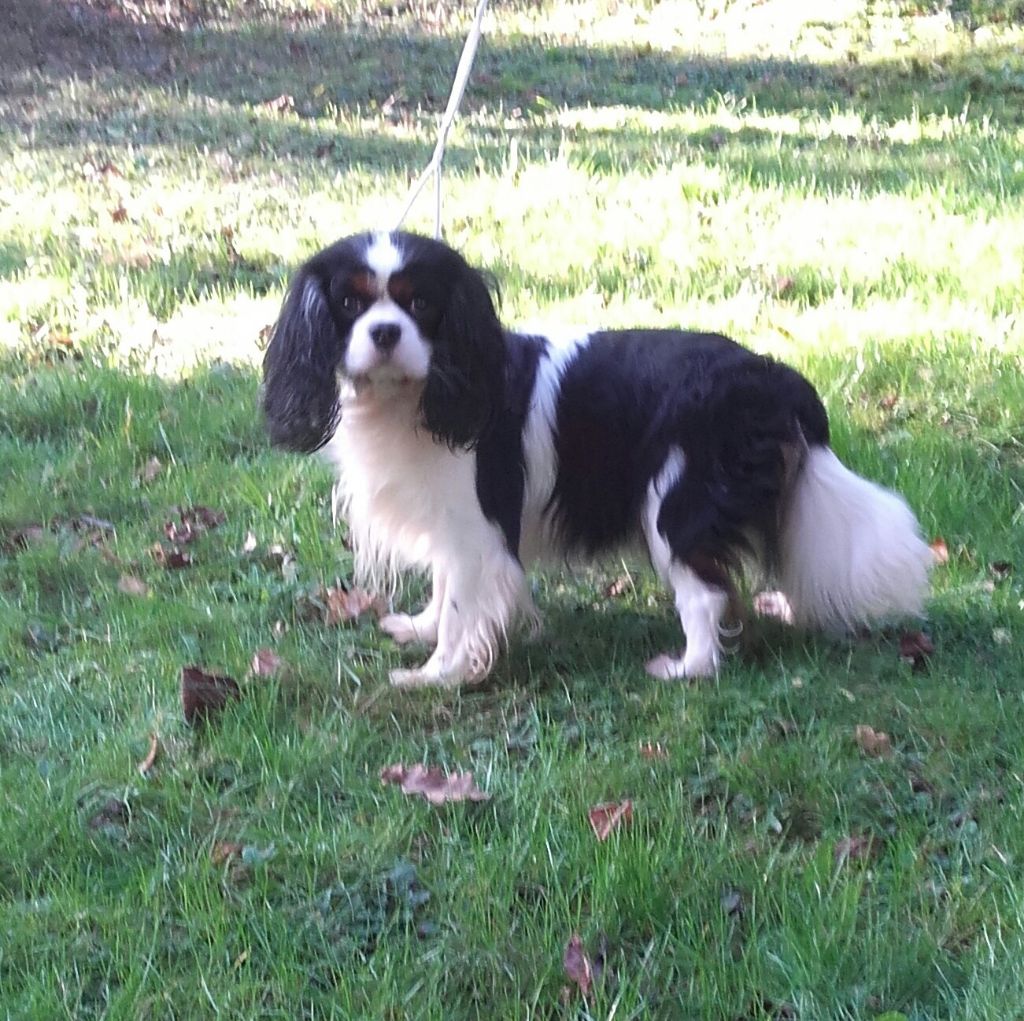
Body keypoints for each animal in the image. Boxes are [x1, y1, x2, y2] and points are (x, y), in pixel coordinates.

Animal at [260, 231, 933, 688]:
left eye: (419, 304)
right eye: (350, 305)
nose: (385, 333)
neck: (412, 396)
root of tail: (776, 377)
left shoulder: (480, 526)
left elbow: (462, 607)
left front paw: (437, 676)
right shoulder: (455, 523)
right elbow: (446, 587)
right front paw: (421, 630)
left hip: (674, 503)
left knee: (707, 594)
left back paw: (686, 668)